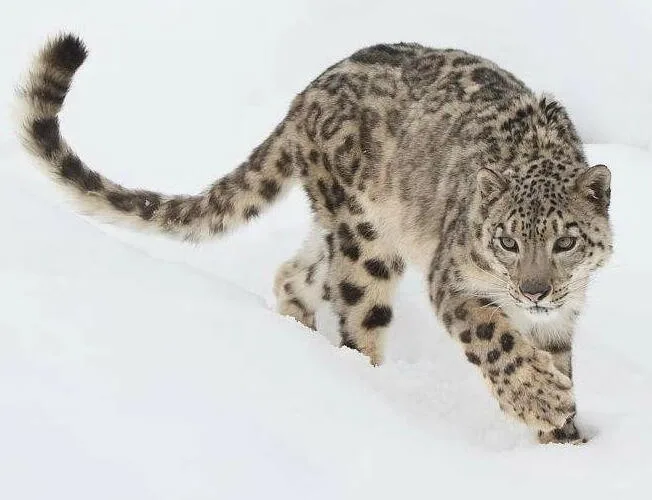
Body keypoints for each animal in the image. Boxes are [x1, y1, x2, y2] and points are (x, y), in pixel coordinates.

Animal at [17, 34, 612, 444]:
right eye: (507, 241)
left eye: (565, 243)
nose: (534, 291)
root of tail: (310, 90)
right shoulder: (456, 281)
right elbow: (497, 341)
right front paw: (545, 402)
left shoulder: (561, 318)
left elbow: (555, 357)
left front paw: (565, 438)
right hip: (366, 239)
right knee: (359, 316)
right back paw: (364, 386)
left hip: (340, 230)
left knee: (296, 272)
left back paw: (297, 331)